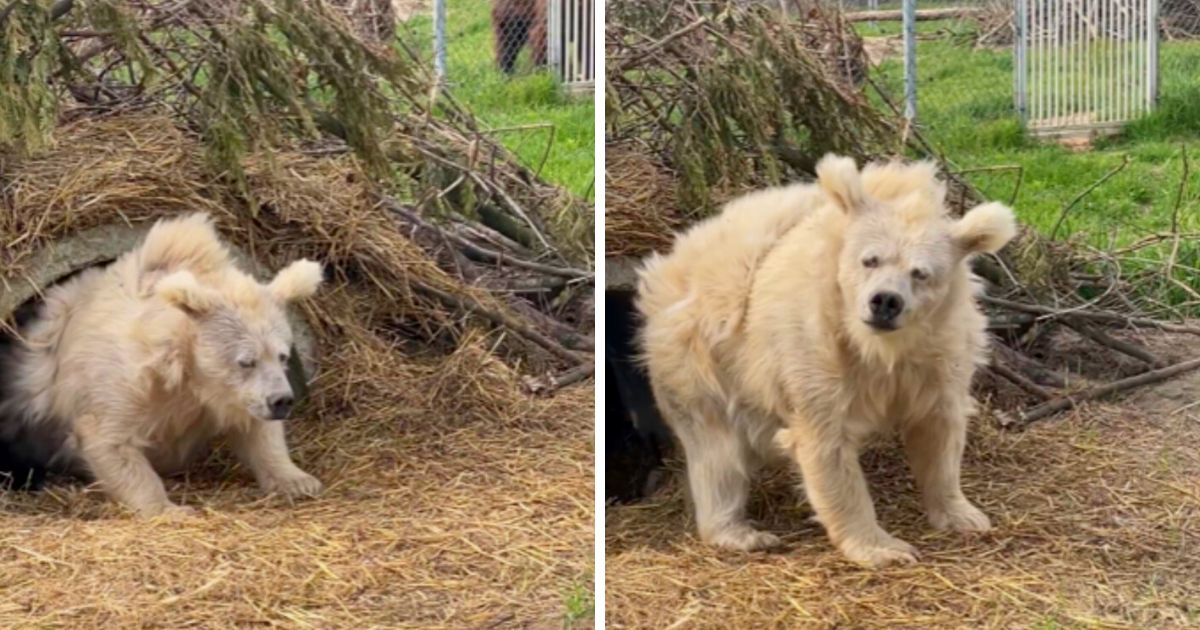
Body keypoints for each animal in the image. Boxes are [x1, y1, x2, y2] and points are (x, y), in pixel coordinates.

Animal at [0, 212, 324, 516]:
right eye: (246, 361)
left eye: (282, 355)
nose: (281, 400)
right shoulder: (125, 382)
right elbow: (109, 438)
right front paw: (170, 509)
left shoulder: (227, 397)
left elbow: (257, 431)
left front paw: (300, 481)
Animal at [633, 154, 1017, 566]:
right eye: (870, 260)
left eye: (921, 273)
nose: (885, 301)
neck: (880, 348)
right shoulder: (816, 350)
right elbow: (825, 445)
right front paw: (886, 549)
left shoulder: (940, 355)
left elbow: (939, 428)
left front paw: (965, 515)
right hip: (700, 356)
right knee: (716, 452)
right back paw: (742, 533)